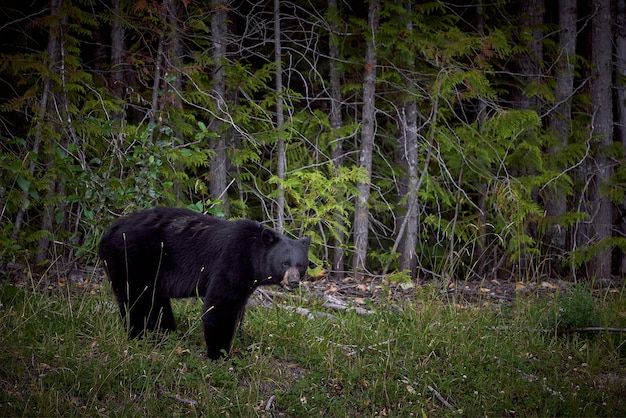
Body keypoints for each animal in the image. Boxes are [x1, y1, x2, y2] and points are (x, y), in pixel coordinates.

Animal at [98, 207, 310, 360]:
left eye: (300, 265)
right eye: (284, 262)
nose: (293, 281)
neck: (252, 255)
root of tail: (107, 233)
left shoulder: (246, 279)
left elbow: (238, 307)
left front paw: (240, 335)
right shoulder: (231, 261)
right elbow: (221, 305)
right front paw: (220, 353)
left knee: (155, 302)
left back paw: (167, 332)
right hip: (134, 259)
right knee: (137, 299)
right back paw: (140, 336)